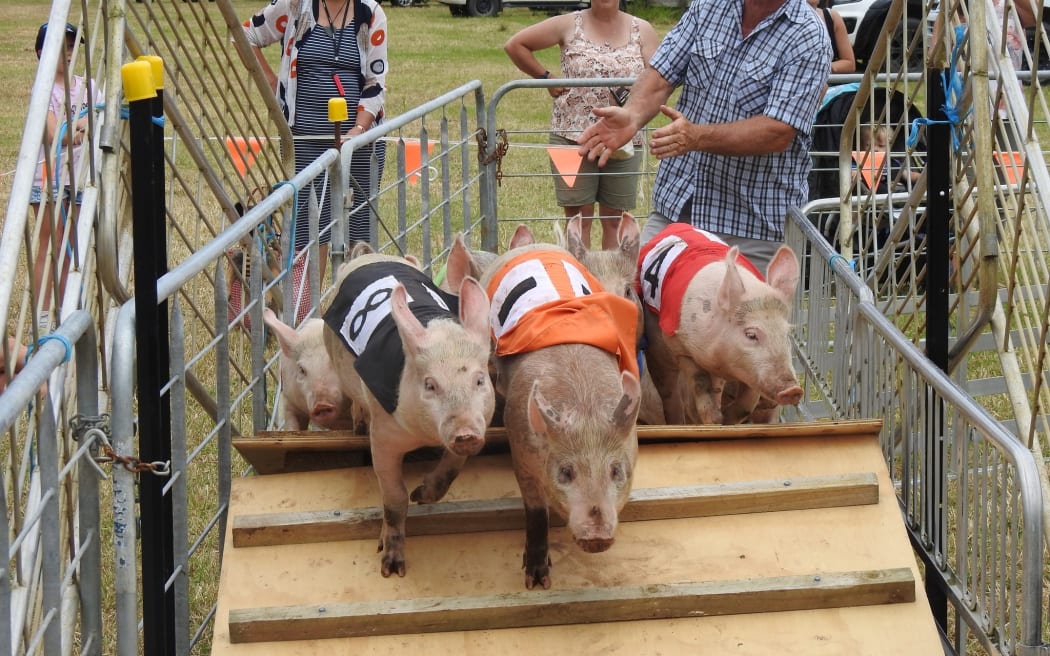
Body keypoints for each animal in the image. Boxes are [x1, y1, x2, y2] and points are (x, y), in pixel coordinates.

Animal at [322, 251, 494, 577]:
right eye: (430, 384)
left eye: (479, 380)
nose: (465, 432)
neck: (425, 435)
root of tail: (370, 255)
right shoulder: (383, 435)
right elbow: (394, 498)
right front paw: (391, 569)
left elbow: (453, 468)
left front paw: (422, 496)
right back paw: (358, 424)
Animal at [481, 226, 641, 589]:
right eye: (566, 472)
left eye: (616, 471)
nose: (597, 538)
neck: (584, 407)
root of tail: (536, 244)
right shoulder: (520, 447)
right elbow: (536, 510)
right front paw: (537, 582)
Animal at [638, 223, 803, 425]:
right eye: (751, 334)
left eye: (787, 334)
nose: (793, 389)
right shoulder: (680, 347)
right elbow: (699, 380)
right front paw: (714, 421)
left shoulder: (750, 371)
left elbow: (748, 401)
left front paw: (728, 421)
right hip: (656, 351)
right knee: (669, 394)